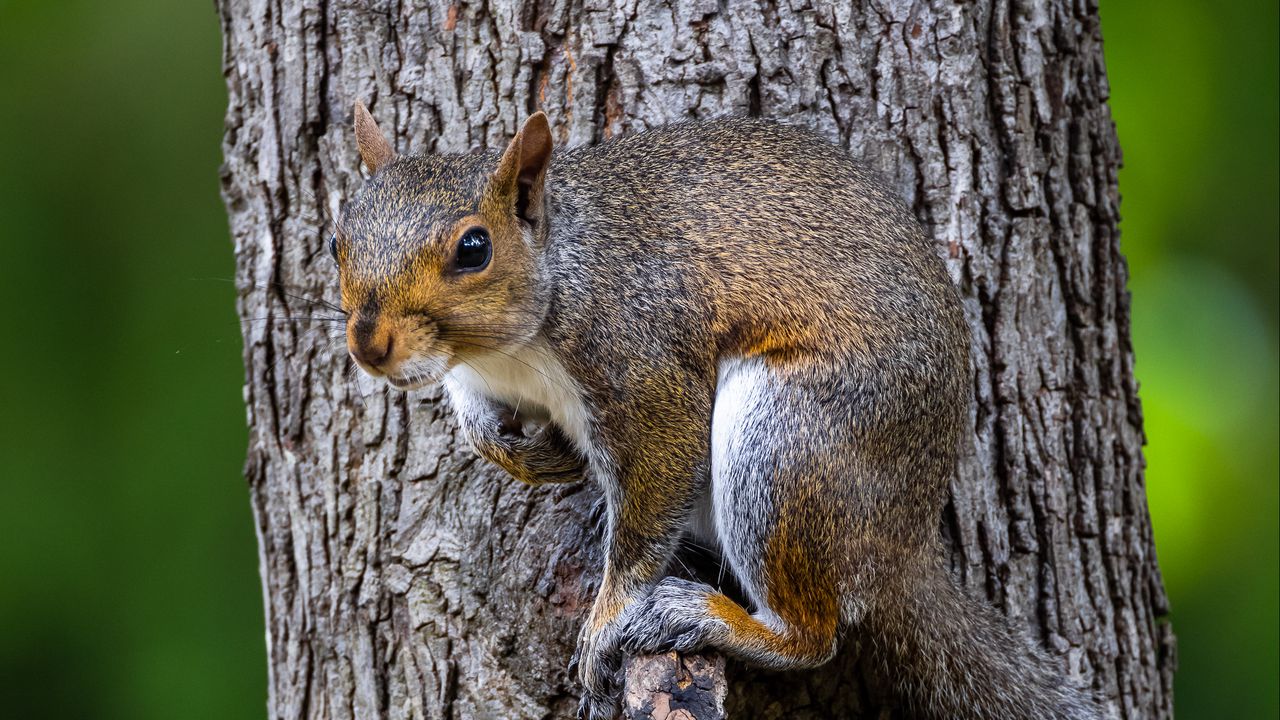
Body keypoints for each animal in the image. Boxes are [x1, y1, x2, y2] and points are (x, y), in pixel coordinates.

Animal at [330, 101, 1100, 717]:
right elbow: (477, 417)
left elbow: (652, 496)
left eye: (474, 248)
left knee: (813, 636)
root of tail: (903, 545)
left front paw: (608, 620)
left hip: (789, 442)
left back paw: (706, 618)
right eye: (337, 239)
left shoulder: (645, 366)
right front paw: (521, 451)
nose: (368, 345)